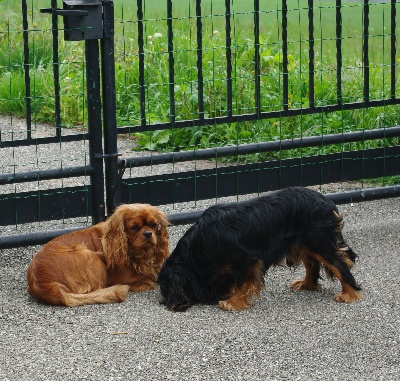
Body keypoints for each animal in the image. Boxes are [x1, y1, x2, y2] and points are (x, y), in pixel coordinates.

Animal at [27, 202, 169, 306]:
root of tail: (46, 285)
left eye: (153, 224)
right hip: (89, 255)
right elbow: (149, 276)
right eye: (134, 227)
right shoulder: (123, 277)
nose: (148, 233)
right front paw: (146, 281)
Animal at [158, 186, 360, 310]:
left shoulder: (245, 259)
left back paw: (350, 294)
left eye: (165, 286)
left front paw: (232, 302)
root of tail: (327, 202)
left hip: (319, 241)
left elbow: (242, 282)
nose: (163, 302)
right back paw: (307, 285)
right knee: (312, 264)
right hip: (304, 243)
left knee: (340, 263)